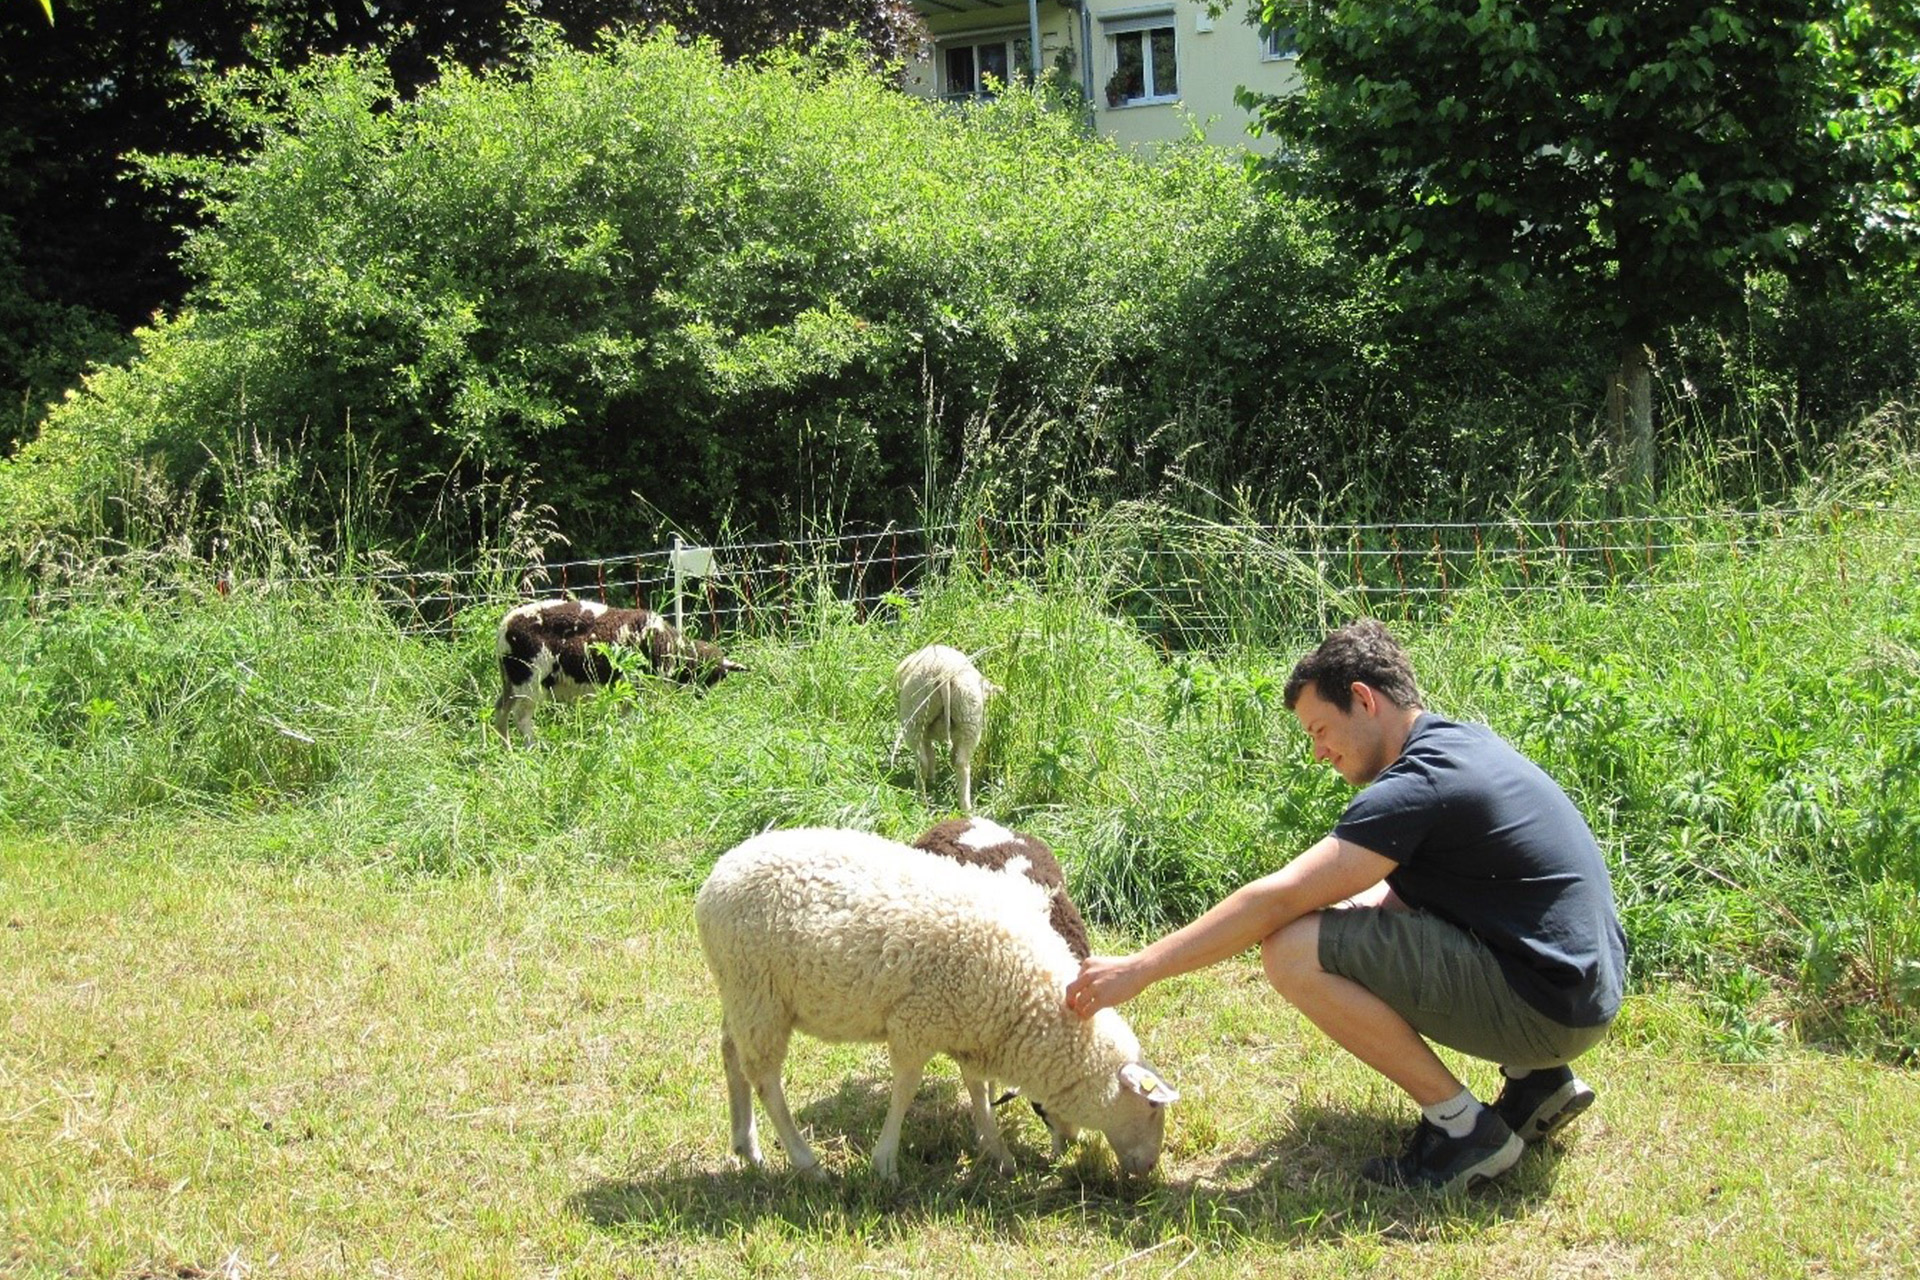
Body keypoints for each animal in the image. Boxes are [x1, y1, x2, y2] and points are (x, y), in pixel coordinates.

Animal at [491, 598, 745, 745]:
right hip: (529, 679)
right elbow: (628, 720)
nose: (702, 698)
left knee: (500, 713)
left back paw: (507, 751)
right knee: (521, 718)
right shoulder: (634, 688)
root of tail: (505, 627)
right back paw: (534, 748)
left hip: (511, 680)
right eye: (715, 676)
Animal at [693, 827, 1178, 1182]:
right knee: (765, 1080)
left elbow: (977, 1089)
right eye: (1153, 1107)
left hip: (741, 990)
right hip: (758, 993)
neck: (1026, 996)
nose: (1149, 1168)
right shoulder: (916, 1022)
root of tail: (718, 874)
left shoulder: (969, 1025)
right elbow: (906, 1089)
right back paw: (806, 1162)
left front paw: (998, 1153)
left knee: (731, 1053)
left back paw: (747, 1146)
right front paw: (886, 1163)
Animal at [892, 644, 997, 813]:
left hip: (915, 718)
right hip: (969, 717)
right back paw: (966, 808)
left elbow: (931, 754)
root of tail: (944, 673)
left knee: (922, 761)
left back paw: (920, 799)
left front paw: (932, 779)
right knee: (962, 763)